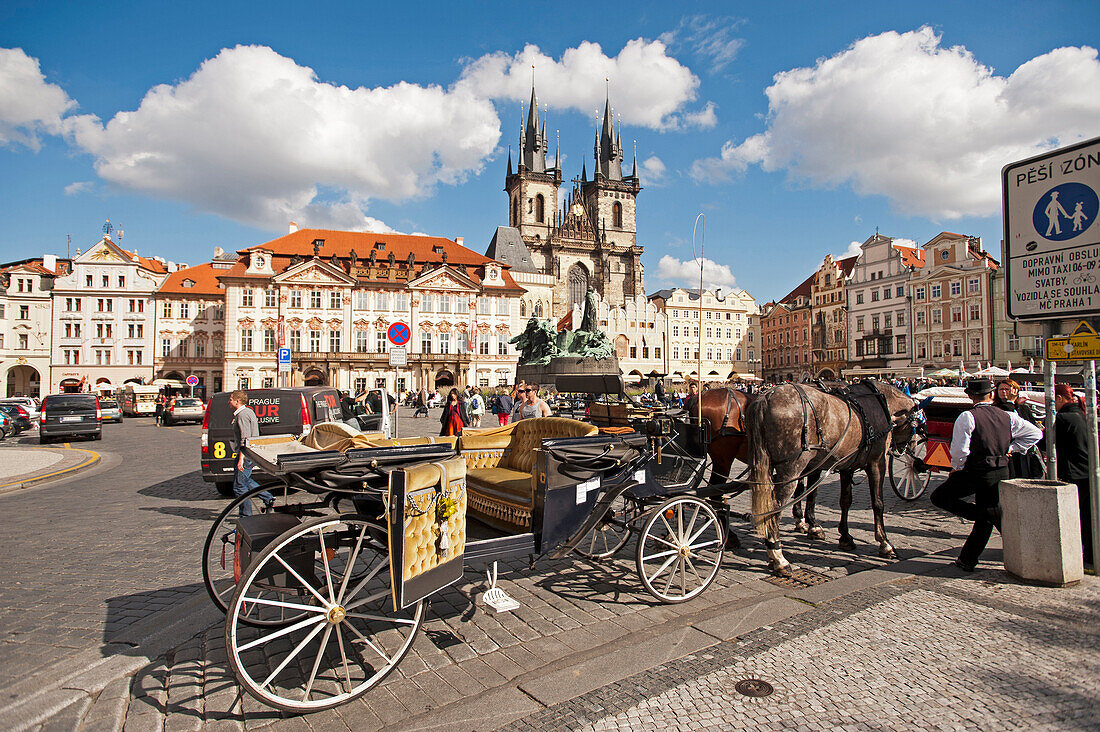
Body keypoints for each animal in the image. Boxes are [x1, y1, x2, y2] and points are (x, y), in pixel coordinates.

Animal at [743, 378, 915, 572]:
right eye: (916, 424)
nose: (907, 448)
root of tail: (765, 398)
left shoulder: (845, 465)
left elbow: (843, 500)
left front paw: (843, 536)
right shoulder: (877, 462)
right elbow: (878, 503)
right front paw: (885, 543)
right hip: (791, 468)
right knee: (775, 507)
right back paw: (778, 557)